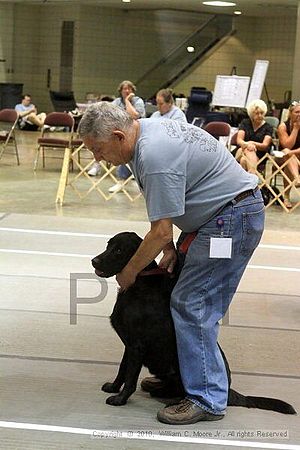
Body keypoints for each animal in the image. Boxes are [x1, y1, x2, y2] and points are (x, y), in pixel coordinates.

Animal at [91, 232, 296, 414]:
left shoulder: (136, 346)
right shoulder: (129, 345)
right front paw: (113, 387)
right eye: (108, 245)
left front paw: (120, 399)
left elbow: (130, 378)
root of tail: (229, 393)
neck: (137, 285)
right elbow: (122, 370)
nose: (94, 261)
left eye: (119, 251)